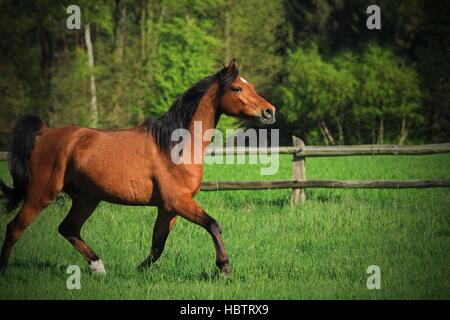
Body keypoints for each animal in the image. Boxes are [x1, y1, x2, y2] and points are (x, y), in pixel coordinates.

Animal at [0, 59, 276, 276]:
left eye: (251, 86)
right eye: (237, 87)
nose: (269, 111)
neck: (175, 145)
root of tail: (45, 133)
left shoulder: (168, 208)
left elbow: (157, 245)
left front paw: (137, 270)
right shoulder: (179, 201)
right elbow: (213, 225)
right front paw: (224, 267)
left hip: (86, 198)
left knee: (68, 228)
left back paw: (99, 268)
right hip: (41, 194)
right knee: (14, 228)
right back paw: (5, 272)